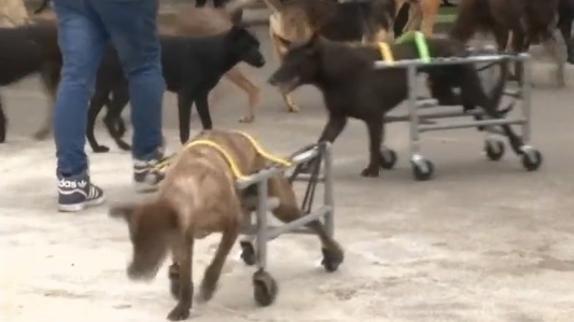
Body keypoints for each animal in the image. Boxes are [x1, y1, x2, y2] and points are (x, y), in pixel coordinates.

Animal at [86, 26, 266, 152]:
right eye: (248, 46)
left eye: (258, 45)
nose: (263, 61)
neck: (212, 52)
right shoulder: (185, 96)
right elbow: (185, 129)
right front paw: (186, 149)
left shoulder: (201, 96)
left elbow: (208, 123)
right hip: (119, 91)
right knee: (108, 118)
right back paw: (122, 145)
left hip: (107, 90)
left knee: (95, 118)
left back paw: (97, 147)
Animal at [110, 130, 344, 320]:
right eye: (133, 241)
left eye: (155, 242)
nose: (132, 273)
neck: (191, 188)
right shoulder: (183, 241)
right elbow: (186, 279)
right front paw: (183, 306)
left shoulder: (232, 226)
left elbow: (217, 261)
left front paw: (207, 287)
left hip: (283, 205)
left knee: (313, 221)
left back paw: (333, 252)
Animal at [270, 36, 520, 177]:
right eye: (284, 58)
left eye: (294, 61)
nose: (271, 79)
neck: (336, 70)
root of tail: (461, 46)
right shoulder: (337, 119)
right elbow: (322, 142)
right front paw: (307, 167)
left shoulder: (374, 118)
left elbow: (373, 146)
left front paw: (372, 170)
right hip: (443, 92)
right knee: (472, 104)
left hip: (467, 85)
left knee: (494, 111)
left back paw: (519, 145)